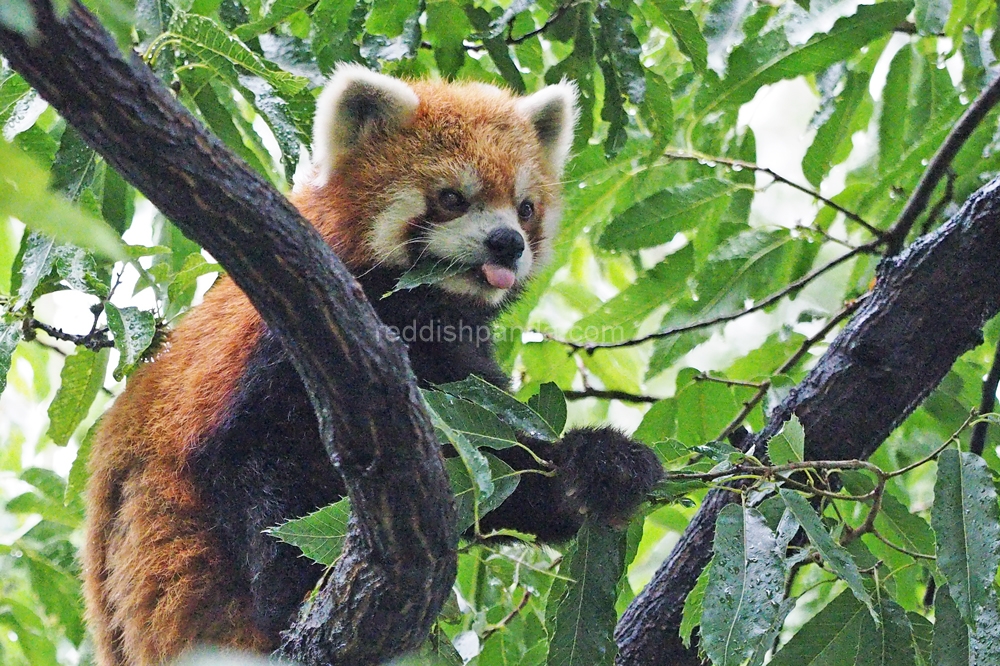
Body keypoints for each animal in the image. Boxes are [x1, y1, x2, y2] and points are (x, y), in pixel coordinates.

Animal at [82, 66, 664, 664]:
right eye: (451, 198)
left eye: (525, 208)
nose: (507, 243)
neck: (416, 309)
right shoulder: (274, 352)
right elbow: (256, 469)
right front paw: (292, 597)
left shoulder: (457, 373)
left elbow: (497, 478)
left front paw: (599, 466)